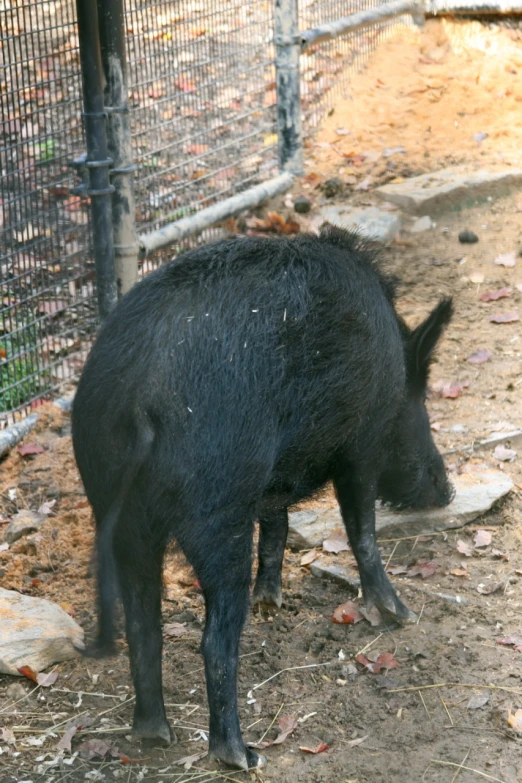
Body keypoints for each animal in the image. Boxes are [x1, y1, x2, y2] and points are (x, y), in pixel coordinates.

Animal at [72, 224, 450, 768]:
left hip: (115, 511)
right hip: (217, 511)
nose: (447, 489)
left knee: (144, 624)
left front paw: (271, 600)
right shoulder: (361, 444)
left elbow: (278, 522)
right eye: (418, 395)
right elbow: (362, 533)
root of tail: (138, 397)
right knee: (214, 640)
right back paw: (242, 755)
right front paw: (402, 616)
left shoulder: (273, 481)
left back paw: (155, 734)